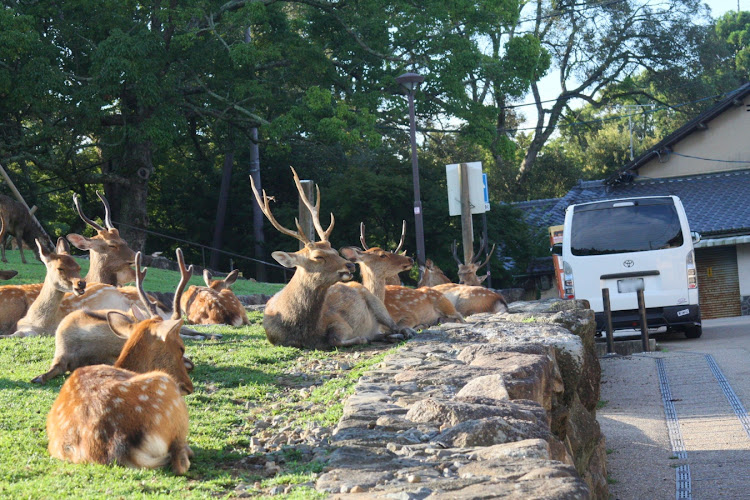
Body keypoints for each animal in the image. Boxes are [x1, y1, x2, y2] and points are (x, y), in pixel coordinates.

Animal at [253, 166, 418, 350]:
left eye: (335, 250)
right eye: (318, 256)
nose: (350, 266)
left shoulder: (339, 321)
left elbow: (336, 339)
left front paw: (366, 337)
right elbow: (336, 340)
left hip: (377, 305)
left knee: (398, 326)